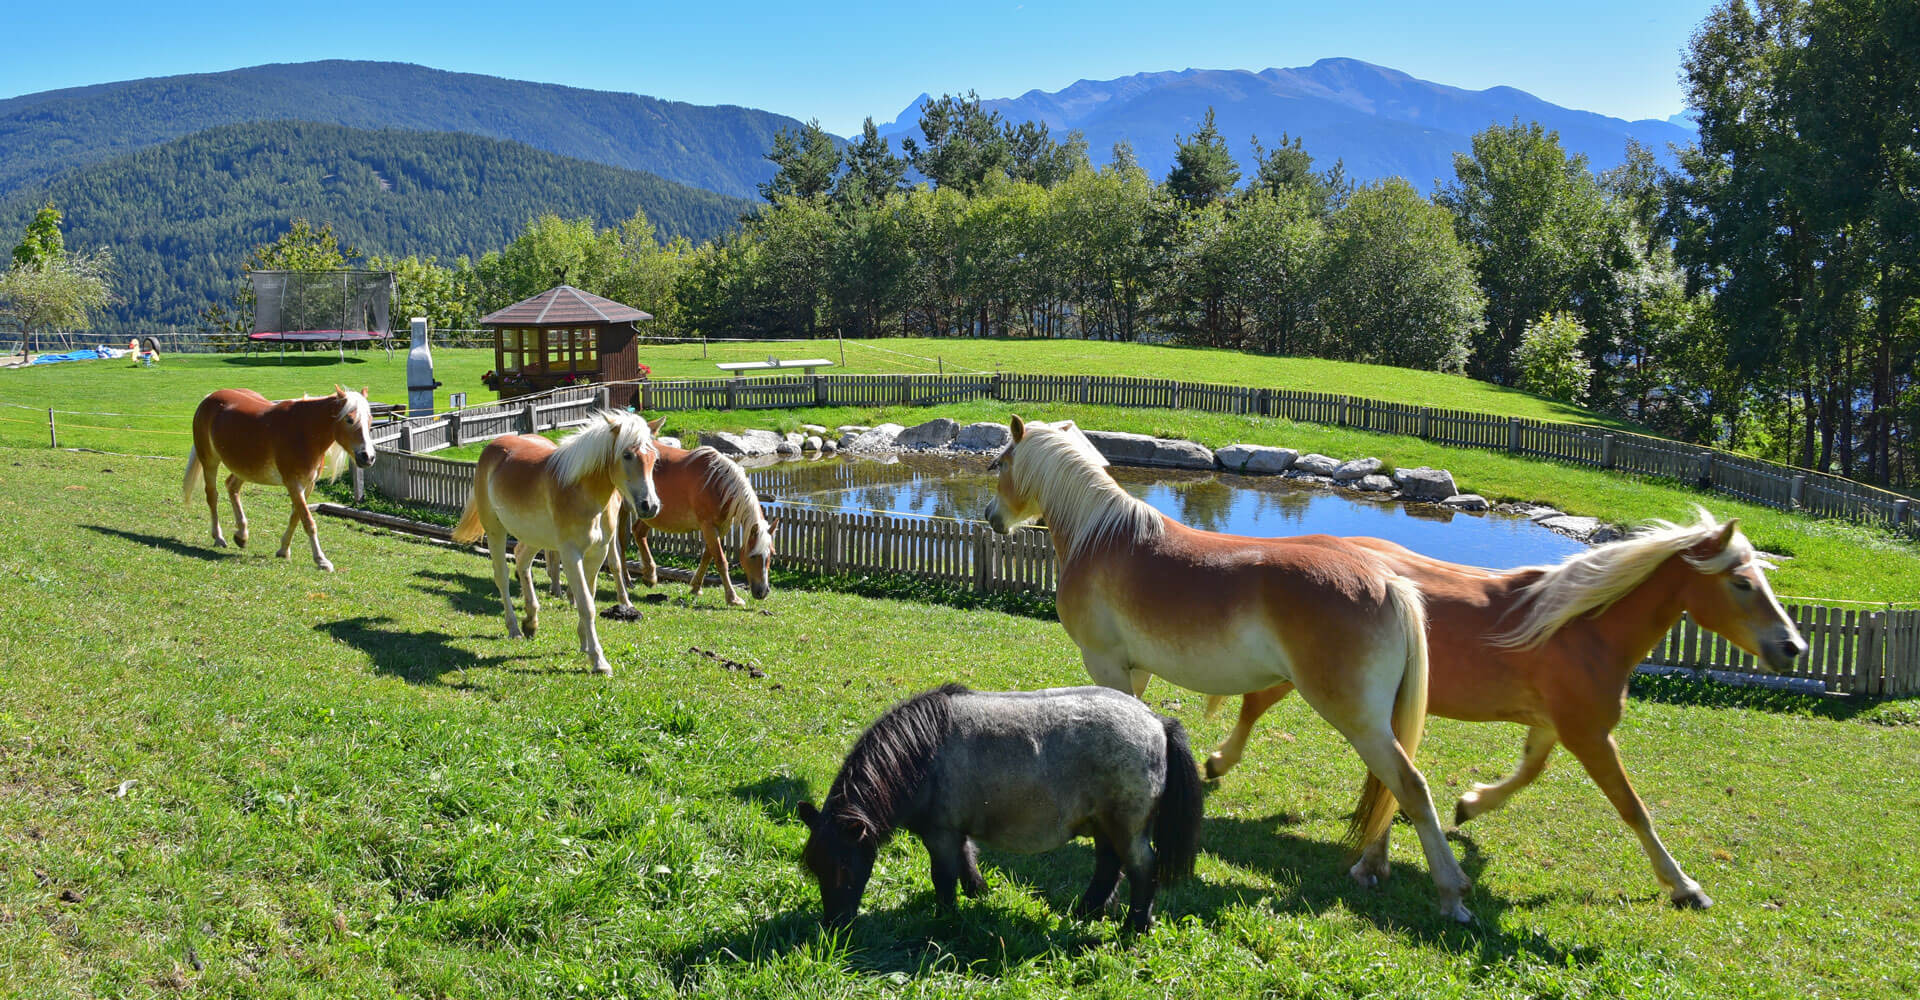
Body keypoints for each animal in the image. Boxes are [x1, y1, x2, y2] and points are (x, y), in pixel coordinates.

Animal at [181, 381, 376, 568]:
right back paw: (218, 537)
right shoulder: (293, 483)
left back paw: (242, 535)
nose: (368, 457)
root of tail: (209, 398)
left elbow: (296, 517)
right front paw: (321, 560)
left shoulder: (308, 485)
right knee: (212, 496)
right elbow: (308, 521)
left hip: (244, 467)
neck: (304, 431)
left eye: (370, 419)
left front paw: (283, 550)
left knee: (232, 487)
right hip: (210, 461)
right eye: (349, 419)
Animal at [453, 408, 664, 675]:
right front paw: (599, 661)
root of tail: (491, 448)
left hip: (534, 536)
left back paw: (531, 621)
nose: (650, 506)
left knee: (522, 561)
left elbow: (589, 596)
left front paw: (584, 644)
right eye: (627, 455)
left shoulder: (597, 553)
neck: (581, 491)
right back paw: (514, 628)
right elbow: (586, 604)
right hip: (495, 531)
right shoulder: (571, 554)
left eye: (654, 457)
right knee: (502, 576)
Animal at [794, 683, 1198, 932]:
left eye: (844, 866)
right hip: (1103, 825)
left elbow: (944, 877)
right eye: (815, 868)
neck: (922, 754)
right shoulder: (955, 831)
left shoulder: (940, 834)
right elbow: (967, 861)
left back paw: (1136, 926)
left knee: (1142, 869)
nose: (834, 927)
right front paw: (978, 893)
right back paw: (1087, 911)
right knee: (1108, 867)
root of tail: (1156, 721)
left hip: (1126, 828)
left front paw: (945, 917)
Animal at [983, 412, 1474, 921]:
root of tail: (1388, 581)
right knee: (1386, 788)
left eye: (1000, 463)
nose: (990, 516)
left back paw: (1451, 893)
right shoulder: (1136, 669)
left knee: (1409, 787)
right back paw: (1372, 867)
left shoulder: (1106, 665)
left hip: (1359, 720)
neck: (1099, 536)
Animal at [1205, 510, 1804, 909]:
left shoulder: (1554, 726)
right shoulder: (1589, 734)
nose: (1793, 647)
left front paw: (1470, 805)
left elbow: (1528, 772)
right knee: (1256, 705)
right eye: (1743, 582)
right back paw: (1218, 765)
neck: (1581, 629)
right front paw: (1684, 886)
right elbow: (1634, 809)